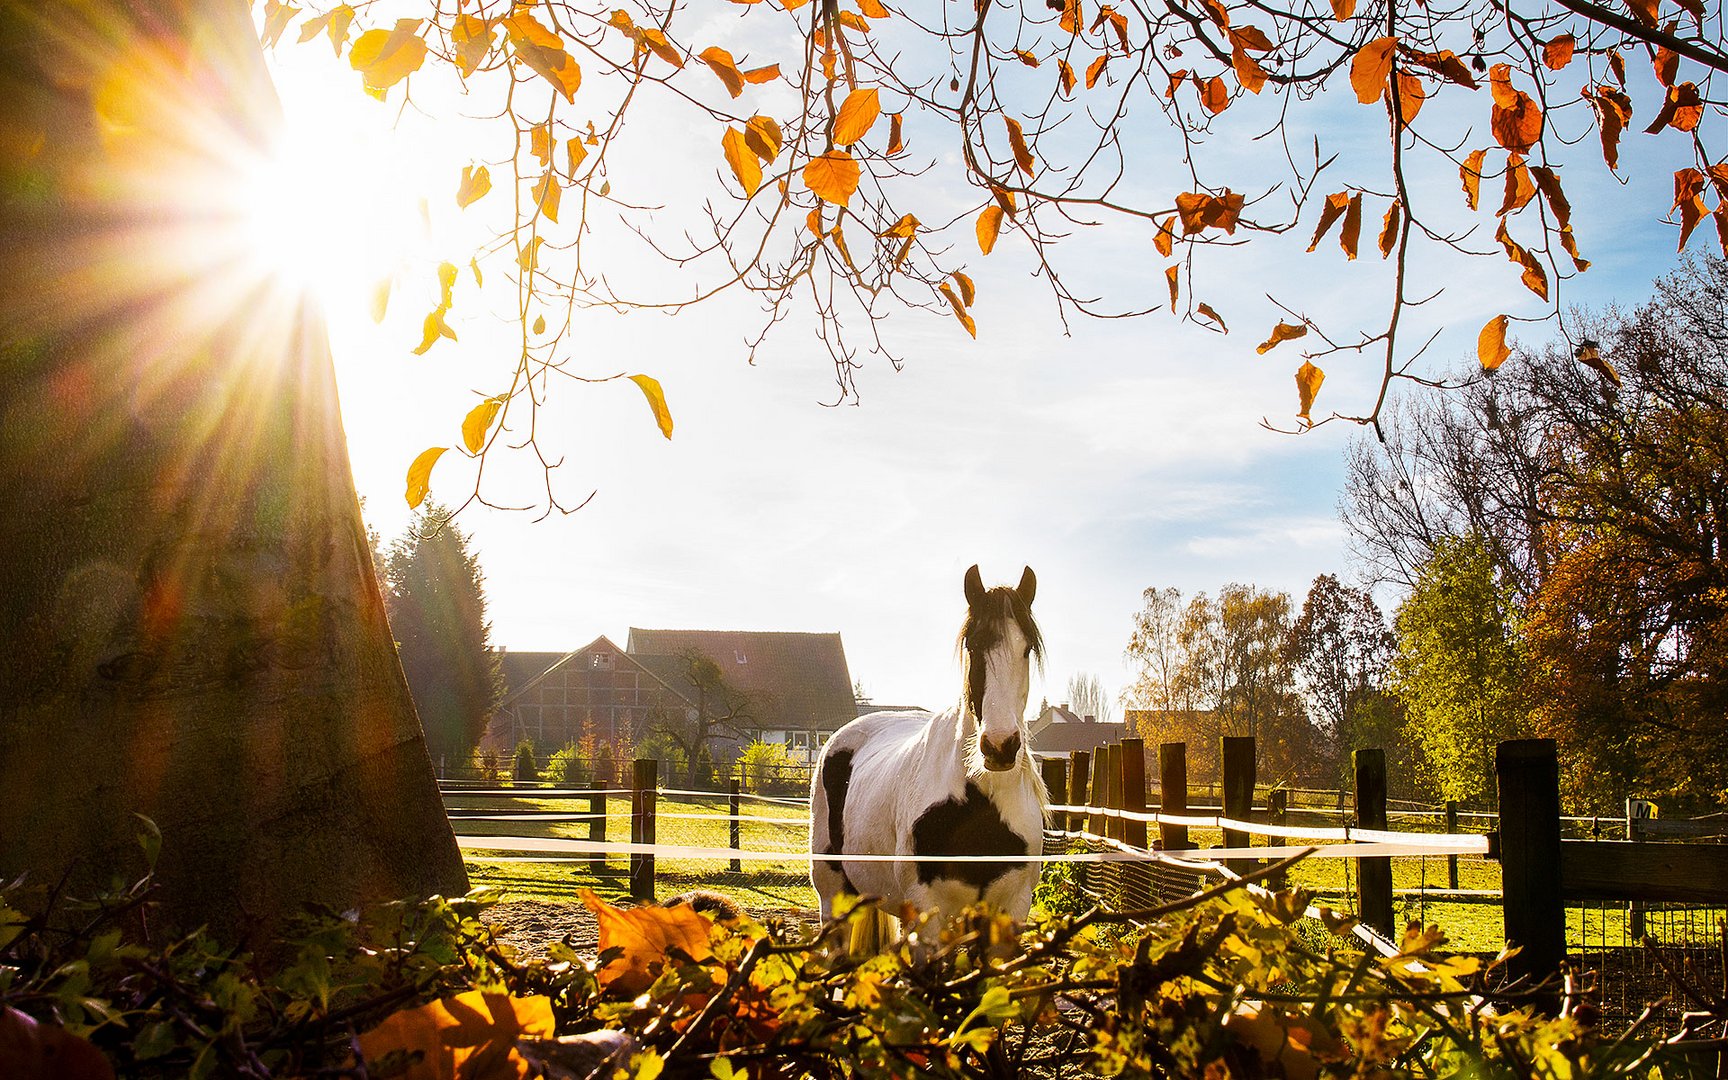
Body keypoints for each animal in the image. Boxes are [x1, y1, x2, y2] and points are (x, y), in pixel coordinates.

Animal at [812, 559, 1043, 919]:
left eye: (1026, 649)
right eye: (973, 645)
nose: (1000, 746)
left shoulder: (1013, 909)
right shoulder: (926, 911)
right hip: (834, 896)